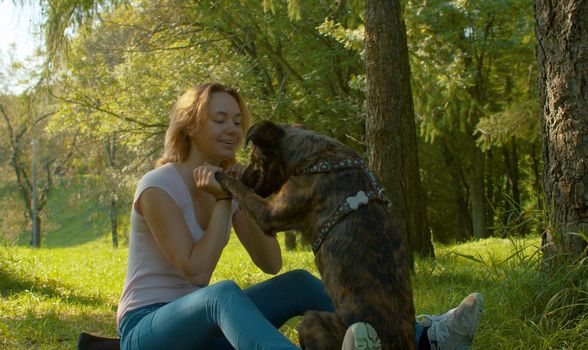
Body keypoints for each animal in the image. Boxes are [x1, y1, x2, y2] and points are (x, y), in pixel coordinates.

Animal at [215, 121, 414, 350]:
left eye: (254, 158)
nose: (244, 175)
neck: (314, 157)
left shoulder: (269, 215)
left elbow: (241, 191)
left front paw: (223, 176)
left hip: (312, 321)